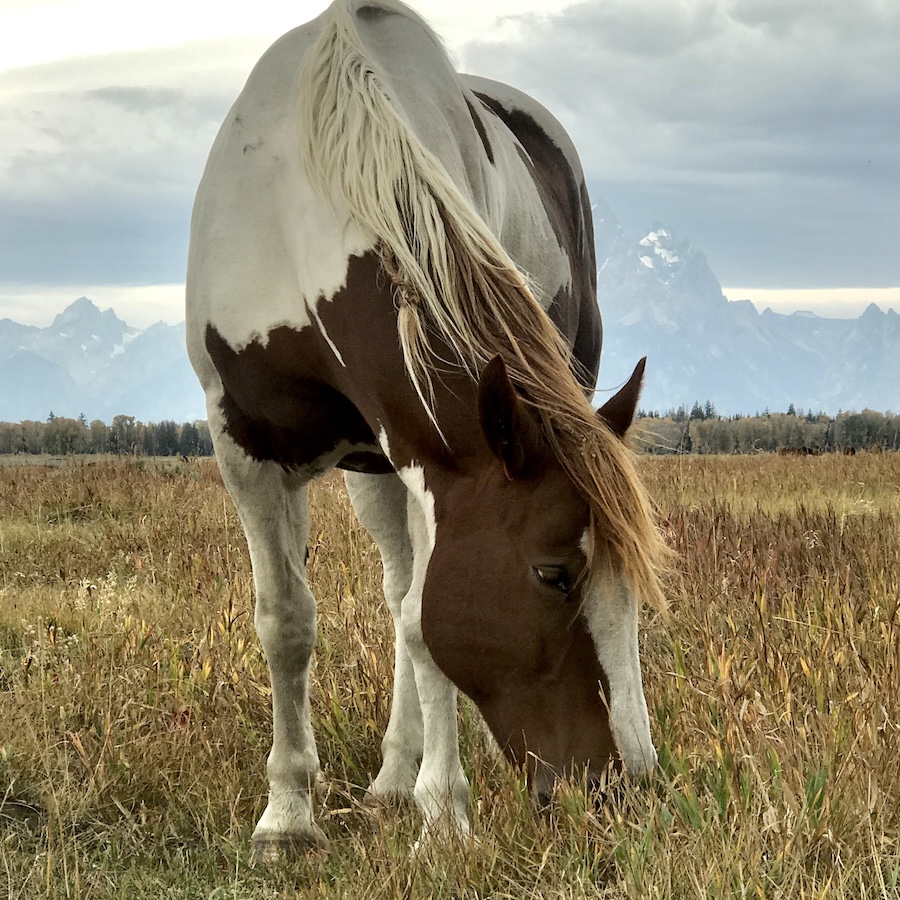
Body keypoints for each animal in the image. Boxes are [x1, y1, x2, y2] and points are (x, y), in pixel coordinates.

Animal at [186, 0, 666, 858]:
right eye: (554, 575)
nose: (622, 786)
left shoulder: (427, 457)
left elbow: (420, 624)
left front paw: (442, 813)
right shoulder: (244, 445)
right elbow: (287, 621)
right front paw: (287, 816)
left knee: (407, 607)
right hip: (368, 471)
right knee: (393, 589)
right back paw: (388, 778)